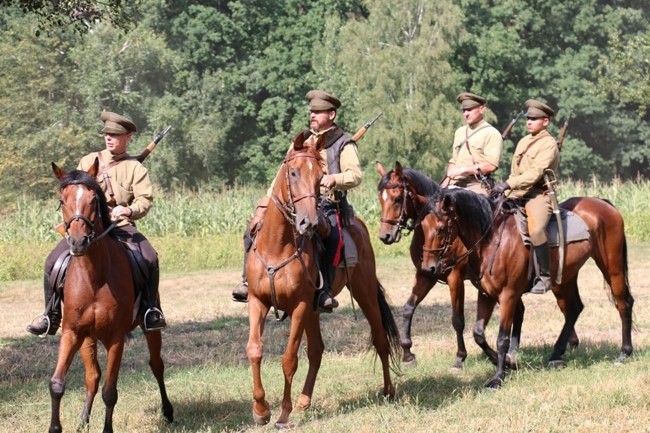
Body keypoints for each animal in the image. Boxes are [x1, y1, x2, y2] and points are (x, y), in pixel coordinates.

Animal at [47, 159, 172, 432]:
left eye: (94, 199)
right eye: (62, 200)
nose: (78, 242)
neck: (94, 277)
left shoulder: (116, 338)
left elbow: (110, 392)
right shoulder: (72, 333)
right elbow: (57, 383)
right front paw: (56, 427)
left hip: (151, 329)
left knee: (157, 365)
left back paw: (168, 412)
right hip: (87, 339)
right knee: (92, 377)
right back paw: (83, 420)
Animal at [244, 132, 400, 428]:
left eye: (320, 177)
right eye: (293, 172)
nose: (309, 223)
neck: (277, 246)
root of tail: (359, 226)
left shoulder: (300, 306)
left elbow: (289, 359)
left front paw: (283, 415)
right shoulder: (257, 301)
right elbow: (255, 350)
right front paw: (260, 410)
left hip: (362, 293)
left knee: (380, 339)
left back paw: (388, 390)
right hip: (314, 311)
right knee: (316, 350)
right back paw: (304, 402)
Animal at [374, 160, 520, 370]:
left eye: (397, 198)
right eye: (381, 198)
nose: (385, 236)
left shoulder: (455, 277)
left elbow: (457, 319)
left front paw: (460, 358)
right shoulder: (425, 275)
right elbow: (409, 307)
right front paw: (408, 353)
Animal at [420, 188, 632, 388]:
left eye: (441, 228)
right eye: (422, 227)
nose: (428, 268)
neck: (492, 239)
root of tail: (603, 204)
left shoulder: (508, 296)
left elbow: (502, 338)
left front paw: (498, 377)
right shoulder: (486, 295)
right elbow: (478, 334)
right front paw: (508, 363)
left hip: (611, 268)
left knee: (623, 303)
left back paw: (624, 353)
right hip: (565, 279)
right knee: (574, 308)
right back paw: (556, 354)